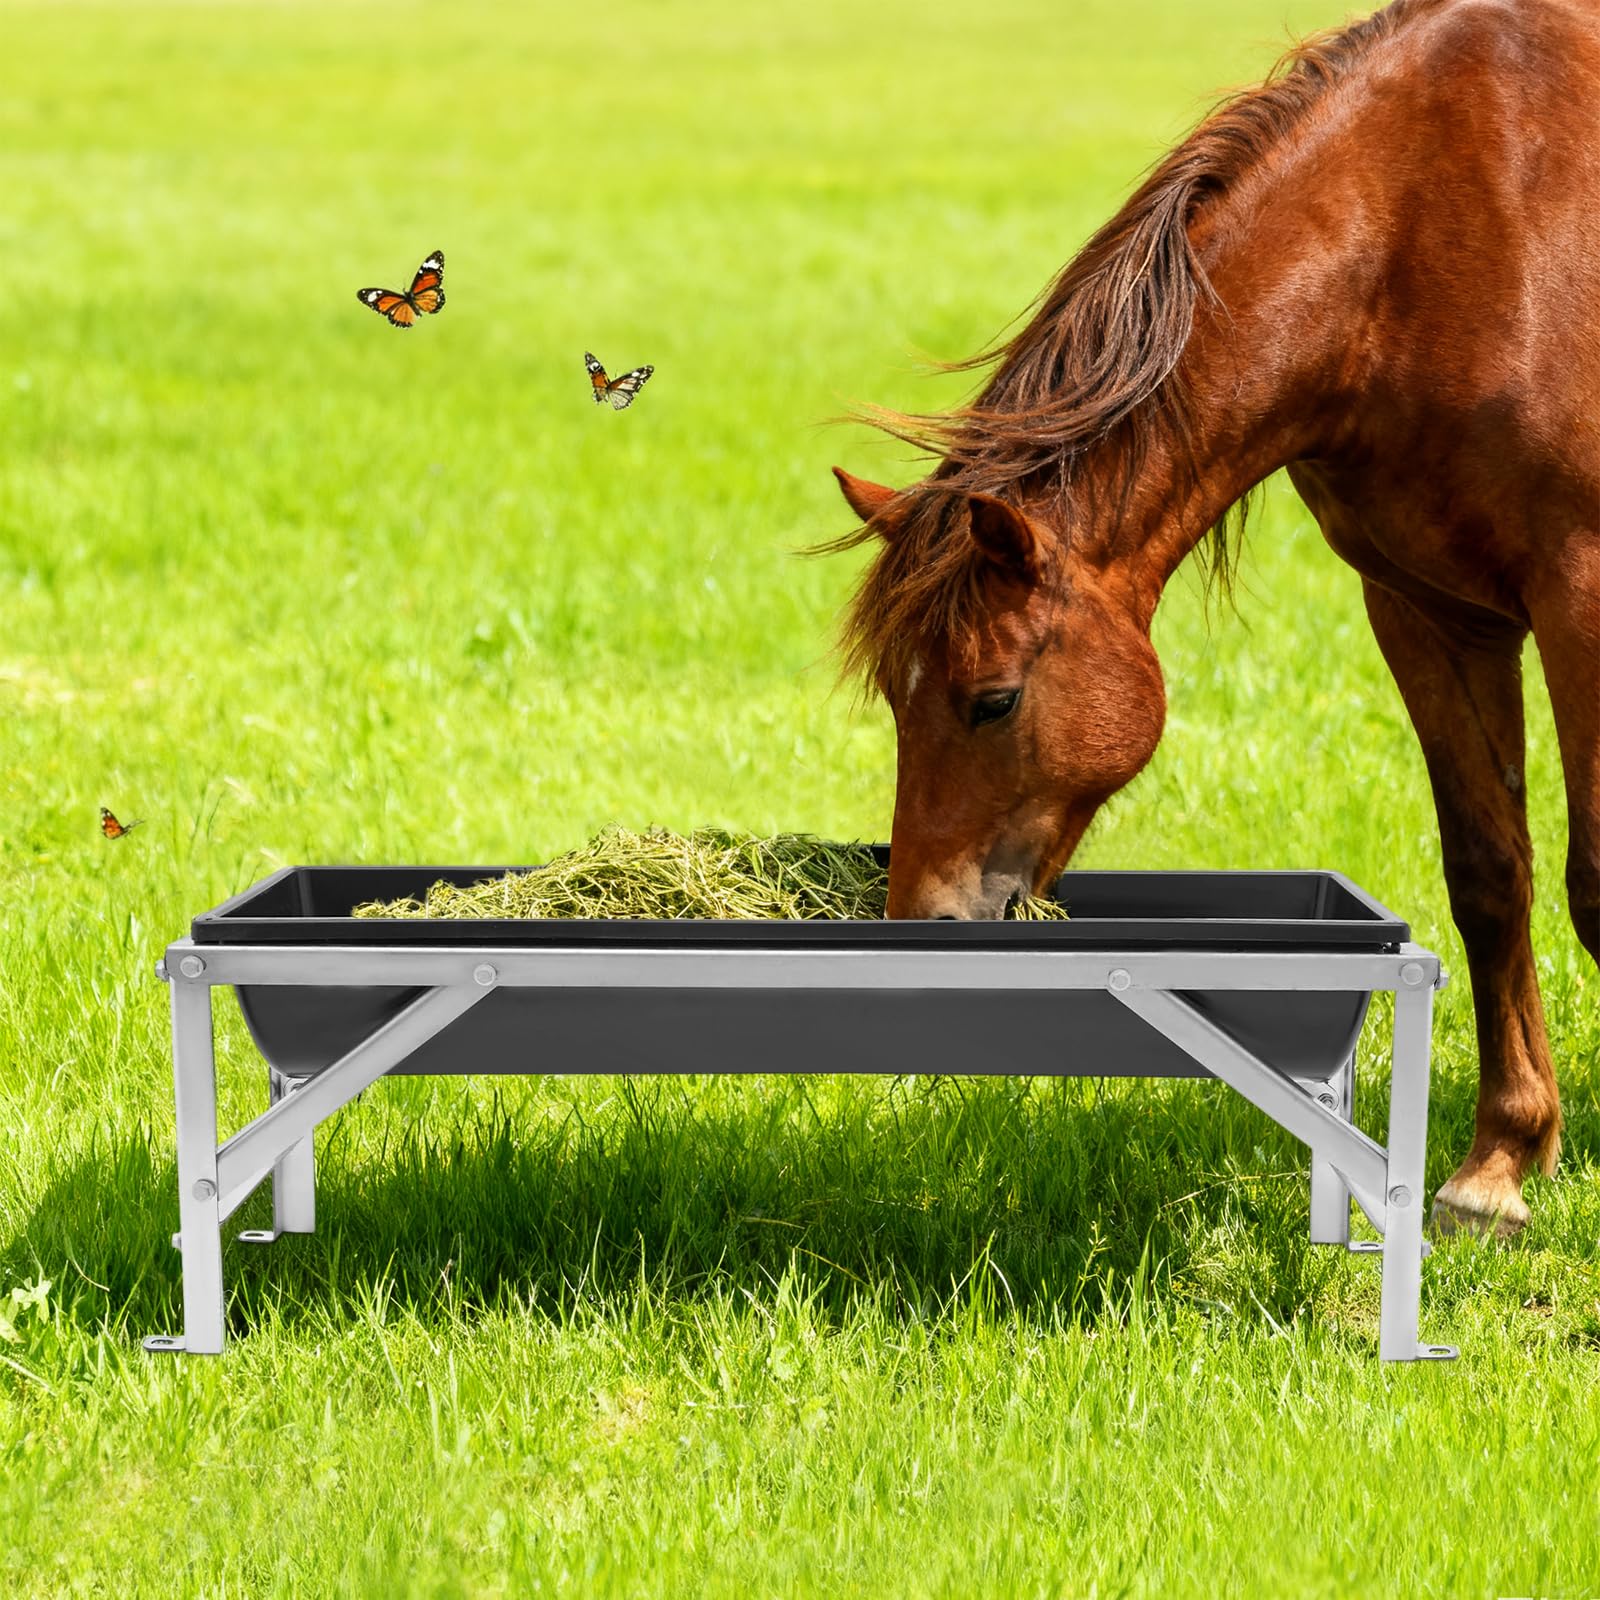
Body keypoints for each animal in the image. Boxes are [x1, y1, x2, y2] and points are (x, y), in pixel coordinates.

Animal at [828, 0, 1599, 1237]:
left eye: (991, 700)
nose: (925, 924)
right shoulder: (1427, 611)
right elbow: (1490, 873)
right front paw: (1496, 1167)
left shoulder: (1578, 597)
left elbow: (1593, 882)